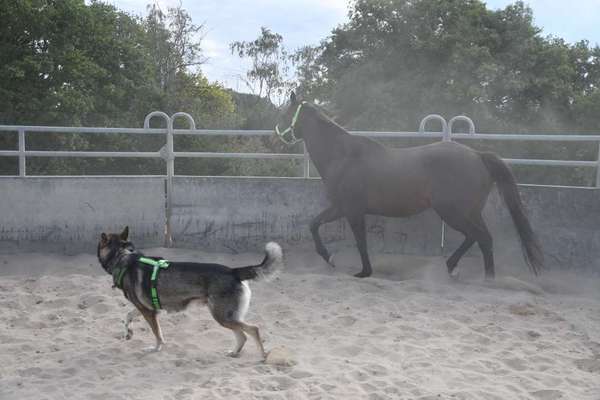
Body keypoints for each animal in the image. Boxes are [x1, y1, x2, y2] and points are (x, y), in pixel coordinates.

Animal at [96, 225, 284, 360]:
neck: (122, 256)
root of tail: (233, 271)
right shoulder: (146, 308)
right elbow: (127, 316)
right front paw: (128, 333)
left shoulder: (149, 313)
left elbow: (157, 334)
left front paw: (156, 348)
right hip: (228, 317)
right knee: (243, 335)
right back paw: (234, 353)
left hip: (223, 316)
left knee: (253, 329)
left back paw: (263, 356)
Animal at [276, 91, 544, 278]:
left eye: (286, 114)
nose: (275, 136)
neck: (343, 156)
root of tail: (478, 156)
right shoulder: (341, 208)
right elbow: (314, 224)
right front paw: (330, 258)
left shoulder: (351, 210)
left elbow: (360, 241)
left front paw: (362, 271)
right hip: (468, 212)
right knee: (479, 238)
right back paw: (459, 269)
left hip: (453, 213)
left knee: (481, 238)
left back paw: (484, 279)